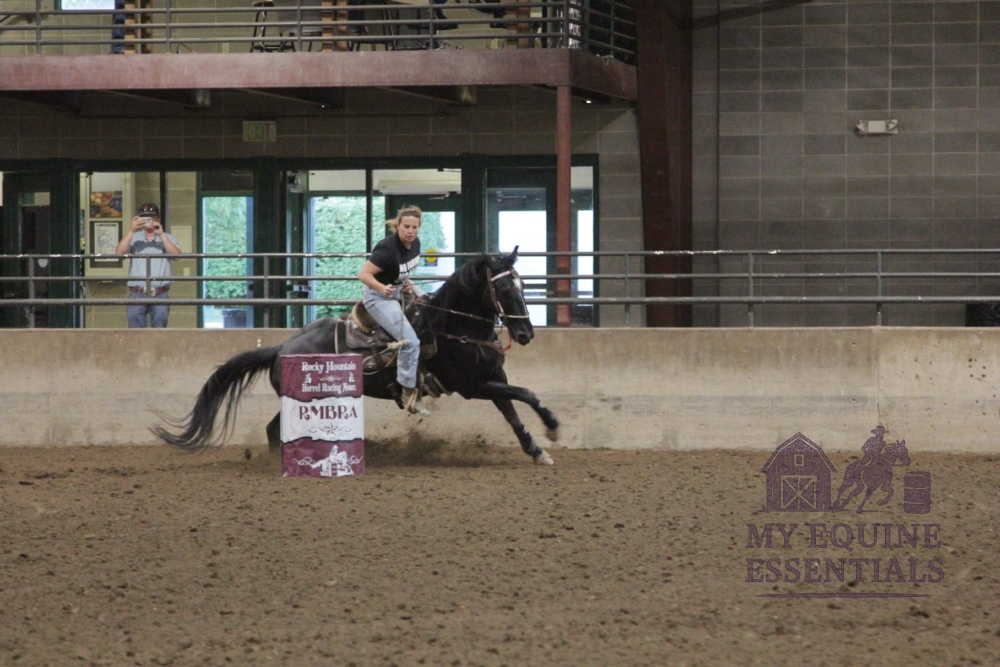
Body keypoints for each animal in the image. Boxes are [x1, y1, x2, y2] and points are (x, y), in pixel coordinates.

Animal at [153, 249, 559, 465]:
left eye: (523, 284)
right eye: (503, 289)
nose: (526, 334)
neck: (453, 325)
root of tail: (281, 348)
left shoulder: (494, 381)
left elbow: (513, 412)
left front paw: (536, 449)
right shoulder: (473, 386)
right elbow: (528, 395)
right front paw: (553, 425)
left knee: (272, 428)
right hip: (305, 399)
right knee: (275, 428)